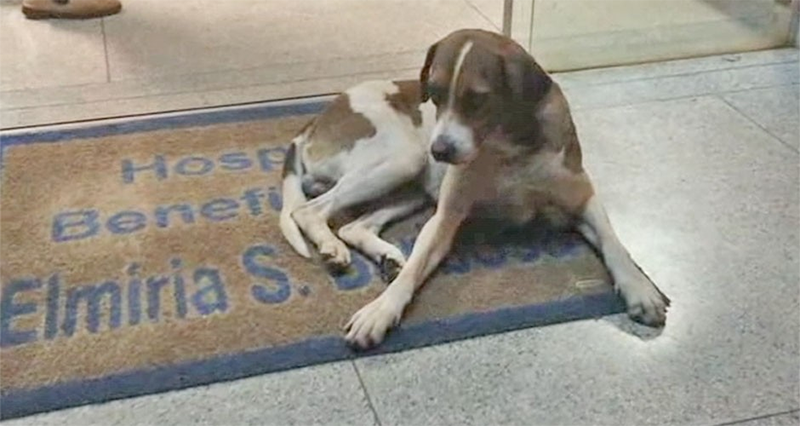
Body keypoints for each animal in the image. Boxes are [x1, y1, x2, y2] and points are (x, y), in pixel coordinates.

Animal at [282, 29, 668, 350]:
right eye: (434, 94)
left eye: (477, 99)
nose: (440, 150)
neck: (510, 148)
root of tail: (316, 120)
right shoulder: (446, 217)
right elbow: (414, 271)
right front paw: (380, 311)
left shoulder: (583, 200)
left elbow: (615, 245)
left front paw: (641, 289)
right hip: (403, 159)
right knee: (310, 210)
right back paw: (332, 248)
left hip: (411, 180)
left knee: (353, 225)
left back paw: (386, 256)